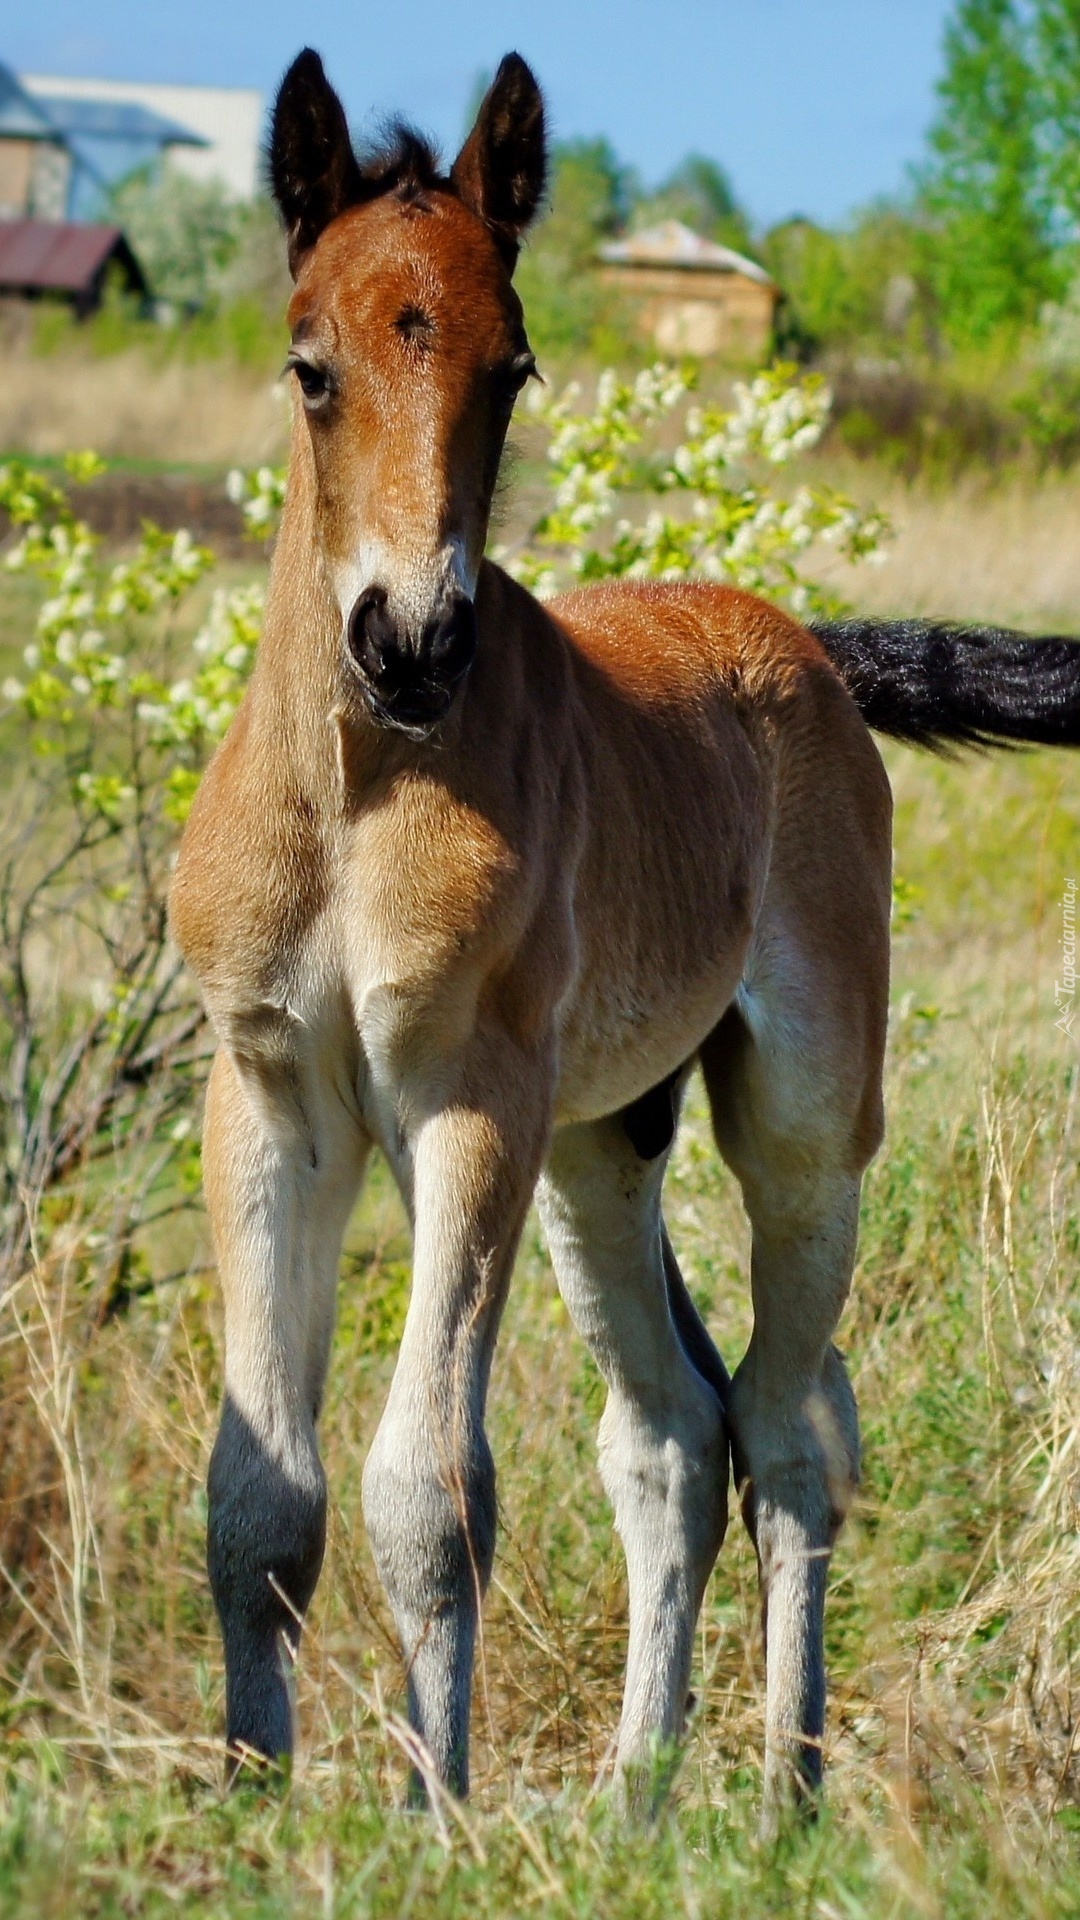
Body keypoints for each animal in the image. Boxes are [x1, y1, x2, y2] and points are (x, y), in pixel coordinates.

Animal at [168, 52, 1076, 1820]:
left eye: (512, 368)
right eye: (310, 368)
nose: (413, 643)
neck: (357, 791)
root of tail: (806, 645)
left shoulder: (470, 1101)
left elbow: (428, 1489)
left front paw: (433, 1819)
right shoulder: (269, 1098)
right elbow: (258, 1498)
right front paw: (248, 1804)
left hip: (798, 1123)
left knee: (789, 1427)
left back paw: (784, 1795)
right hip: (603, 1146)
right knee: (671, 1433)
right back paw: (636, 1801)